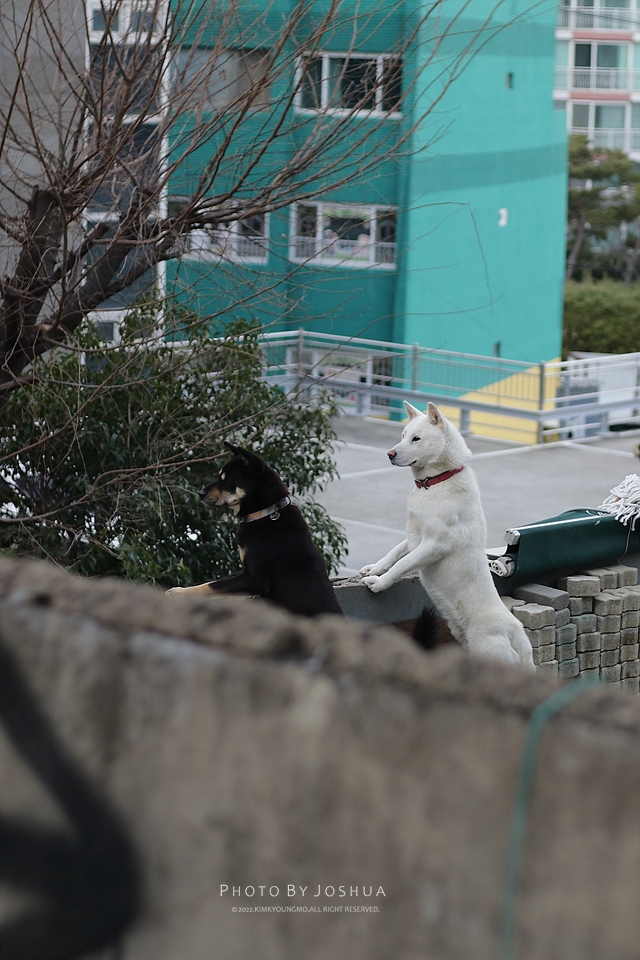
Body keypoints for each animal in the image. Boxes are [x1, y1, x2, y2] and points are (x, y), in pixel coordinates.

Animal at [167, 442, 343, 617]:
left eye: (226, 480)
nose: (200, 493)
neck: (267, 513)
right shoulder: (246, 571)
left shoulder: (255, 579)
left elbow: (212, 584)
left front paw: (179, 592)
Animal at [360, 401, 534, 669]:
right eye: (403, 435)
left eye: (416, 438)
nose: (389, 454)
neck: (436, 482)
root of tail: (517, 636)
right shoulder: (415, 537)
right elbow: (394, 553)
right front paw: (375, 568)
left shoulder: (434, 545)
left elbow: (402, 565)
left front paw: (379, 583)